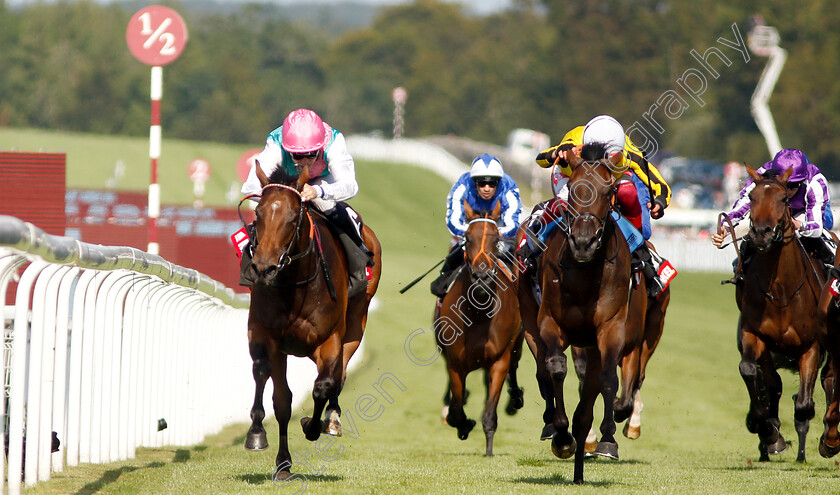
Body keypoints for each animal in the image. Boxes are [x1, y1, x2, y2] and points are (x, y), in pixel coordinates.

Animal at [243, 163, 384, 480]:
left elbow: (324, 385)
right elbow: (270, 385)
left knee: (339, 376)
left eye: (293, 216)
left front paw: (313, 425)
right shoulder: (265, 335)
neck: (295, 285)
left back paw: (331, 419)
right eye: (258, 214)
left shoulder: (329, 339)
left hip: (356, 325)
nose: (263, 268)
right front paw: (260, 437)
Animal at [436, 201, 520, 458]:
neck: (479, 311)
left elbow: (490, 411)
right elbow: (455, 409)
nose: (482, 276)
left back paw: (516, 399)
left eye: (496, 238)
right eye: (467, 237)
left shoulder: (499, 361)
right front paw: (464, 425)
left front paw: (489, 448)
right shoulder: (455, 363)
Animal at [516, 143, 648, 484]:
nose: (584, 242)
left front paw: (607, 437)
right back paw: (553, 426)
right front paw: (562, 435)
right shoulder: (549, 323)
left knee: (591, 393)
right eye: (573, 187)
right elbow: (555, 368)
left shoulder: (611, 329)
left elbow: (608, 380)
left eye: (610, 190)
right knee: (543, 373)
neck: (585, 273)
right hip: (530, 321)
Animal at [736, 165, 828, 464]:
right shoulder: (756, 336)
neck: (782, 290)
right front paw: (767, 430)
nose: (761, 234)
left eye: (783, 199)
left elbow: (803, 404)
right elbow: (752, 373)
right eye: (751, 197)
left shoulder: (811, 346)